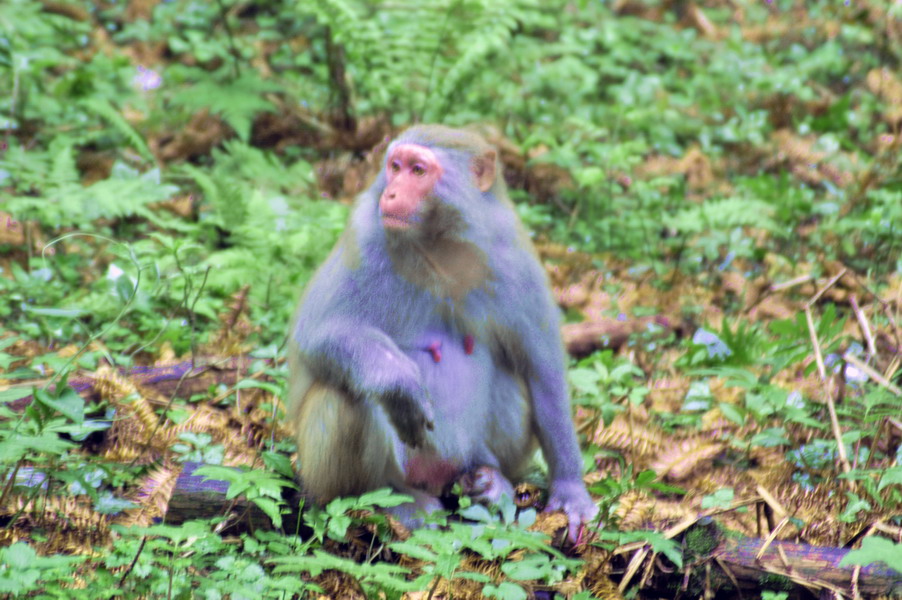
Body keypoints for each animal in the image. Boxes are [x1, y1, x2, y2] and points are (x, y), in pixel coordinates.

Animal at [290, 126, 600, 540]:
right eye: (395, 167)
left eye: (418, 170)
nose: (390, 193)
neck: (439, 244)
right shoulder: (366, 237)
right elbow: (319, 332)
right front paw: (399, 381)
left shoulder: (513, 257)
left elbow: (542, 370)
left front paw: (570, 489)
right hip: (335, 478)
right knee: (345, 397)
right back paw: (391, 498)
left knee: (513, 380)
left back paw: (490, 481)